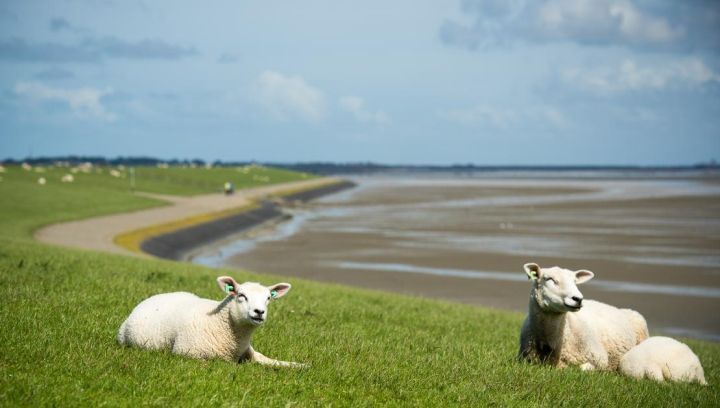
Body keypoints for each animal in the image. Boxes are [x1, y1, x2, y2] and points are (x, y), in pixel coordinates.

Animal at [116, 276, 306, 368]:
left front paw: (300, 366)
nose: (259, 312)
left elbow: (269, 360)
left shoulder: (249, 352)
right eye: (241, 295)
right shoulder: (187, 353)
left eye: (268, 298)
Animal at [516, 262, 648, 372]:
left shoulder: (600, 359)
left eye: (575, 282)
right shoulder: (526, 359)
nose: (578, 299)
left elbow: (581, 368)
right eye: (550, 279)